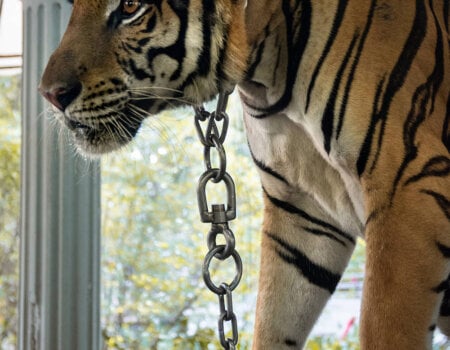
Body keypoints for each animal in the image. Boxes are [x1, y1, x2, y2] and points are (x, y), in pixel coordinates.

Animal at [39, 0, 450, 348]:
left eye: (129, 7)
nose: (50, 95)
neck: (267, 73)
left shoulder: (407, 186)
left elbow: (384, 327)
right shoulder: (302, 211)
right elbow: (272, 318)